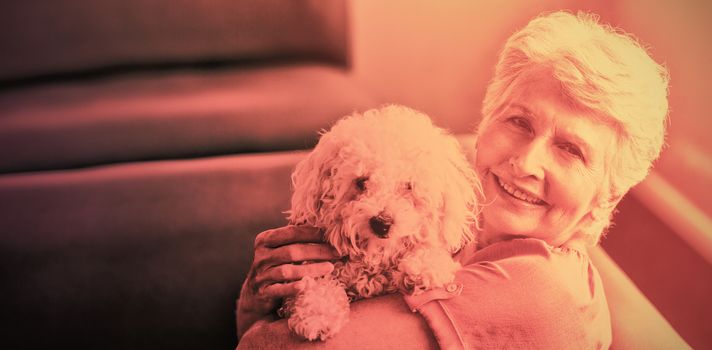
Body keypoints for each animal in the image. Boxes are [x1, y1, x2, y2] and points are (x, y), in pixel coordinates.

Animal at [278, 105, 478, 340]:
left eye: (408, 185)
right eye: (361, 181)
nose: (381, 223)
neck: (375, 257)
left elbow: (428, 250)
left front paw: (424, 268)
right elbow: (313, 283)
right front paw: (318, 315)